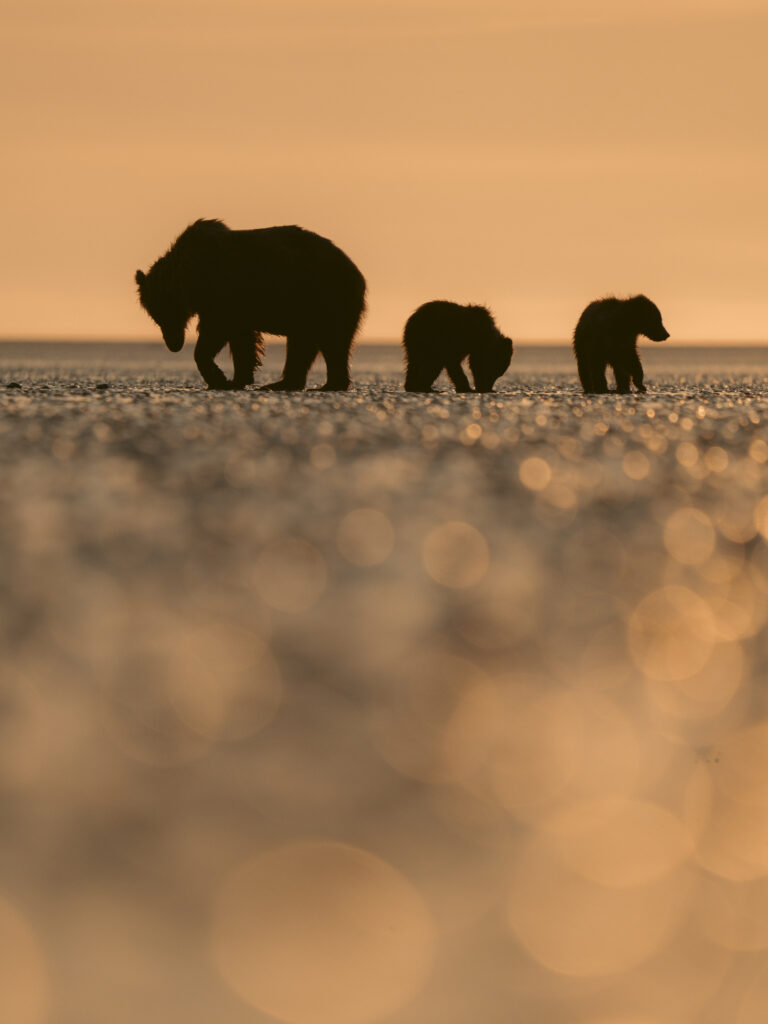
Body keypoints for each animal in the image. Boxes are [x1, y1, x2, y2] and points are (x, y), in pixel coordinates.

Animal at [135, 219, 366, 391]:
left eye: (167, 312)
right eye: (155, 317)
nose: (173, 344)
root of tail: (356, 271)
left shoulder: (223, 294)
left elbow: (217, 332)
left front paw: (219, 379)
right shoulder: (234, 308)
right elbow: (242, 340)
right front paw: (237, 378)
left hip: (324, 295)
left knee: (331, 341)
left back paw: (325, 385)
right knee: (304, 343)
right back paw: (286, 383)